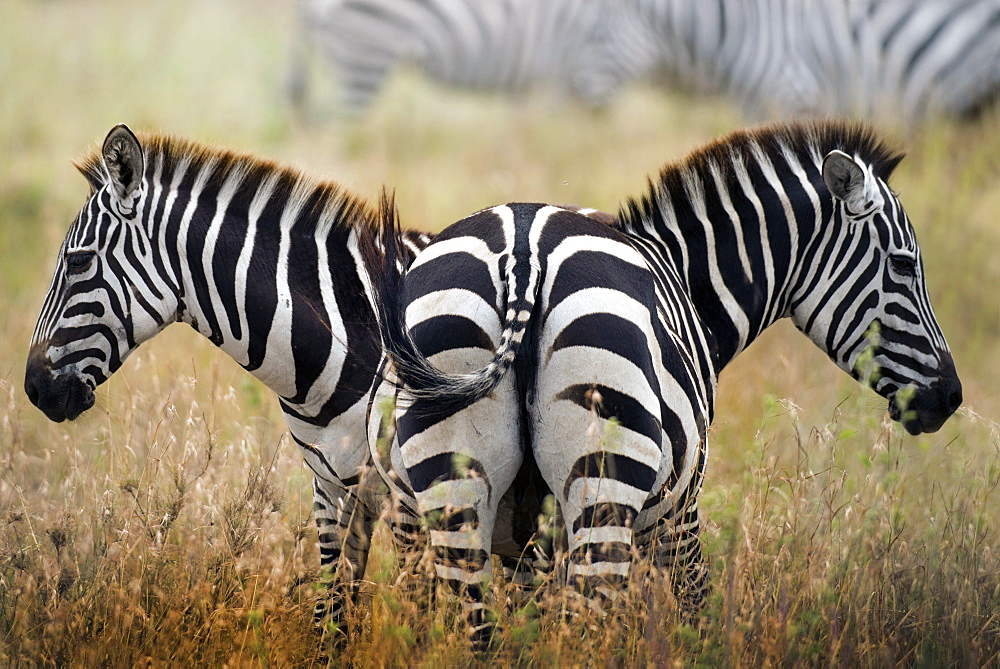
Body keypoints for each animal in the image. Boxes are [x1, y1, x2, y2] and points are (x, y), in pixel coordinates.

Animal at [366, 121, 960, 648]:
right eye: (904, 266)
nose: (949, 398)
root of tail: (524, 253)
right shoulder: (679, 508)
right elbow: (695, 602)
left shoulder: (524, 543)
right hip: (605, 476)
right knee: (587, 628)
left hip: (447, 485)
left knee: (477, 627)